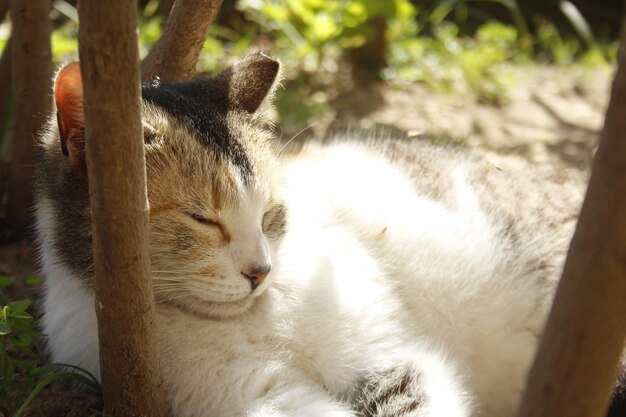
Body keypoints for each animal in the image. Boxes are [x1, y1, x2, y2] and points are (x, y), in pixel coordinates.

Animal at [36, 52, 620, 416]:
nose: (260, 271)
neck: (251, 322)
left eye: (271, 213)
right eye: (202, 219)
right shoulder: (251, 394)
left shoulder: (384, 353)